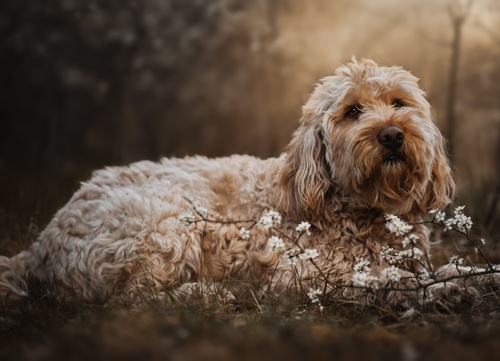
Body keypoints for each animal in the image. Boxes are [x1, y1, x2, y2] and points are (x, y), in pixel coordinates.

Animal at [0, 59, 472, 310]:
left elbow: (440, 270)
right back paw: (211, 292)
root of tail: (39, 246)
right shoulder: (301, 274)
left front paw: (463, 276)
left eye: (399, 103)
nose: (392, 134)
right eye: (353, 111)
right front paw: (437, 290)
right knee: (133, 298)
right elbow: (384, 277)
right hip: (168, 217)